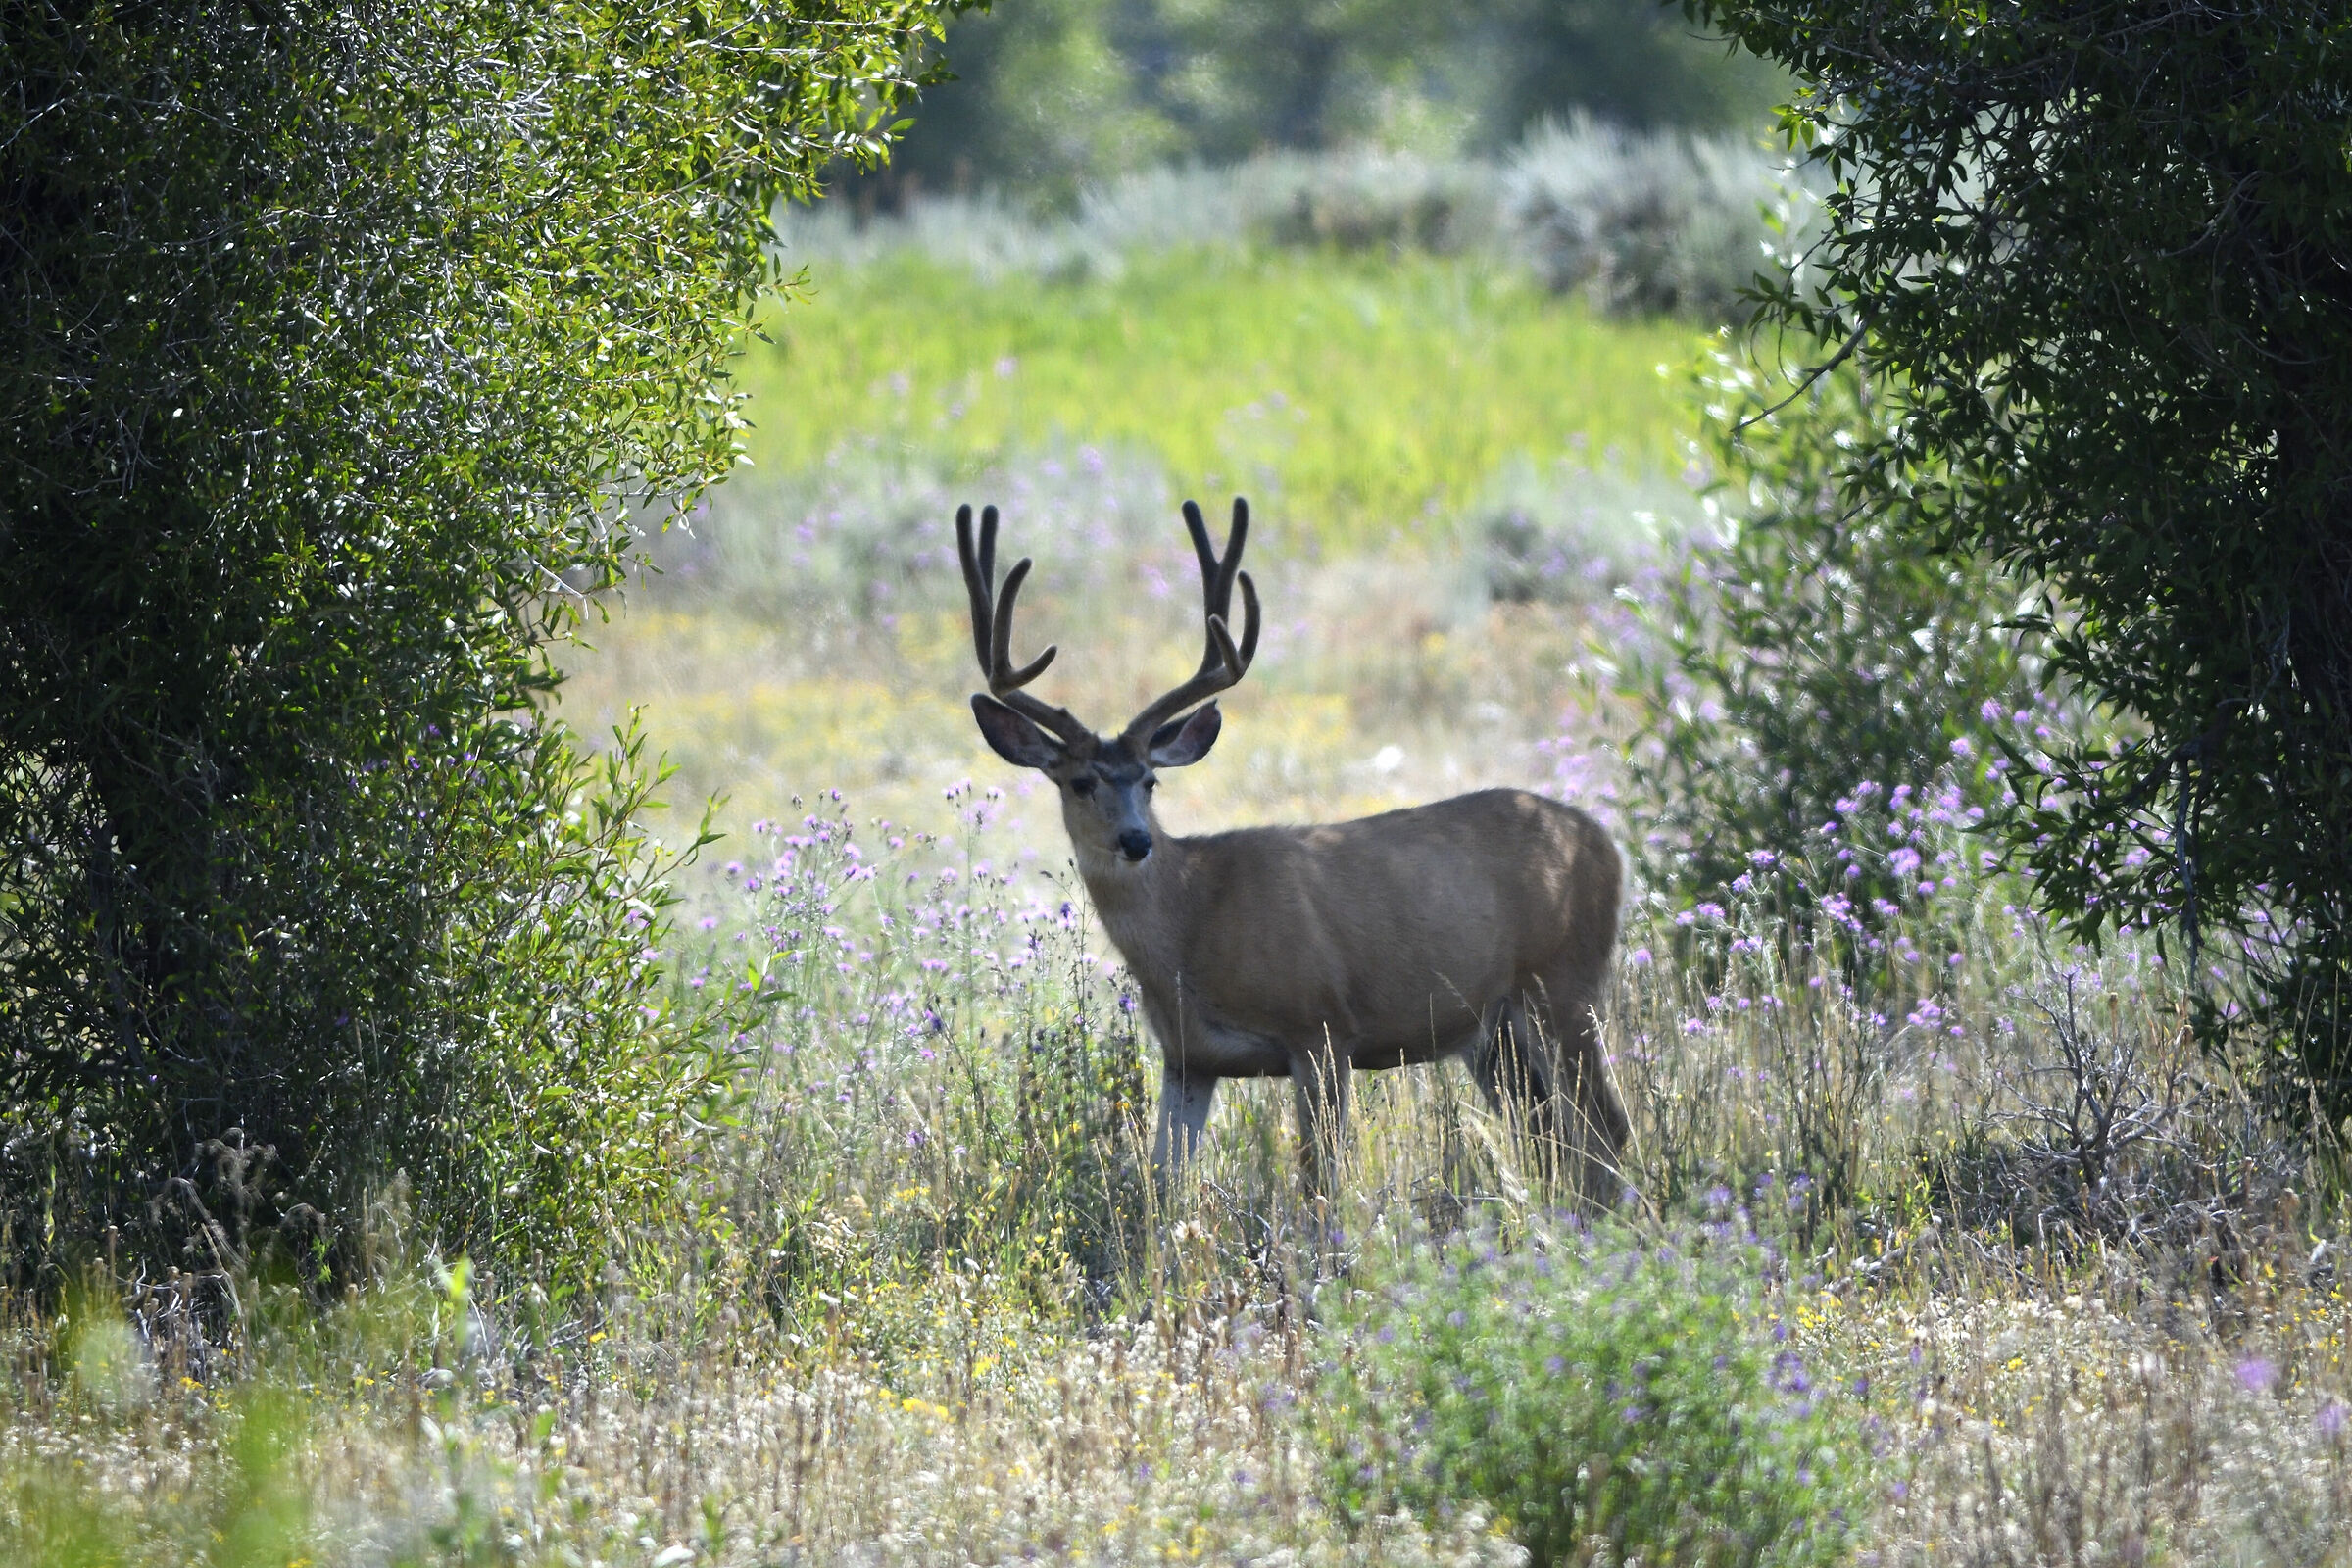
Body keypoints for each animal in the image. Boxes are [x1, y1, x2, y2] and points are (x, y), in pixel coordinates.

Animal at [955, 496, 1637, 1212]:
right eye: (1080, 782)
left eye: (1150, 781)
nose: (1136, 841)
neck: (1191, 927)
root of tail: (1605, 842)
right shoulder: (1187, 1058)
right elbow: (1164, 1186)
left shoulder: (1322, 1027)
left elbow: (1317, 1186)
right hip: (1494, 1030)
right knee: (1549, 1134)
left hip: (1565, 982)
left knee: (1606, 1127)